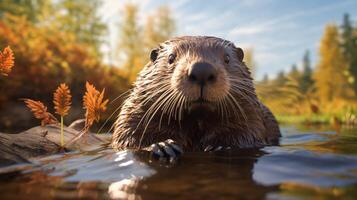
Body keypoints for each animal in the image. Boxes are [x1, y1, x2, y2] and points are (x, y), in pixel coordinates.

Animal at [112, 36, 280, 157]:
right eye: (171, 57)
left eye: (227, 58)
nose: (202, 70)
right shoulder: (135, 110)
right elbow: (126, 136)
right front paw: (163, 146)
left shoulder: (251, 112)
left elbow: (248, 132)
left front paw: (222, 146)